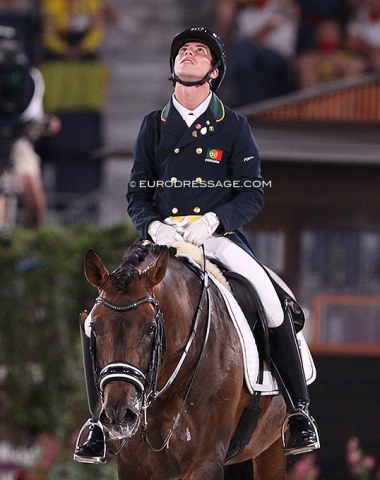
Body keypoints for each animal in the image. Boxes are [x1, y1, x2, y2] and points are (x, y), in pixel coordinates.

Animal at [81, 240, 286, 480]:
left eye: (151, 328)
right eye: (94, 327)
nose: (119, 414)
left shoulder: (206, 461)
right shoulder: (132, 466)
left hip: (271, 448)